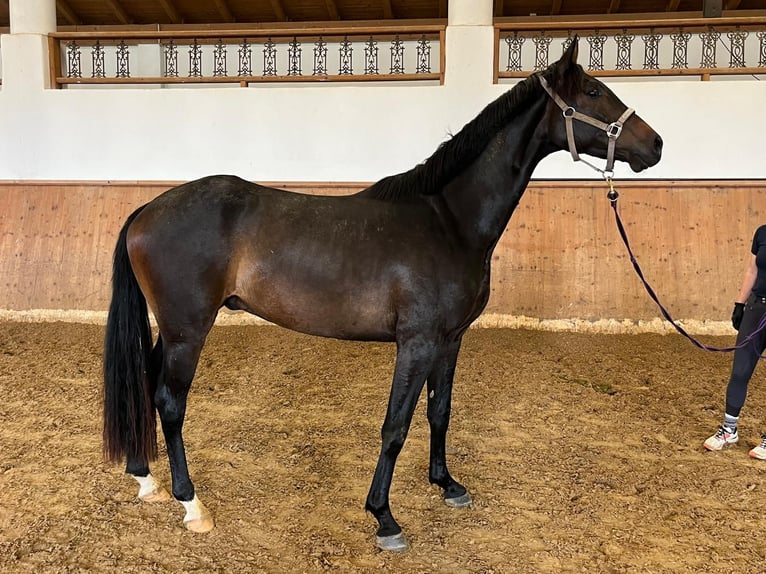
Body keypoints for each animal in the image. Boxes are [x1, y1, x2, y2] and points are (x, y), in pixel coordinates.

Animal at [103, 38, 662, 552]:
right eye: (594, 91)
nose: (655, 145)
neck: (449, 222)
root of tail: (146, 210)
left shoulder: (450, 340)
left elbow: (440, 412)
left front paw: (447, 485)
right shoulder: (416, 343)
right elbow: (395, 427)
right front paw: (384, 518)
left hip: (172, 329)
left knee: (146, 381)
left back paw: (145, 478)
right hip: (188, 330)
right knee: (170, 401)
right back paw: (191, 504)